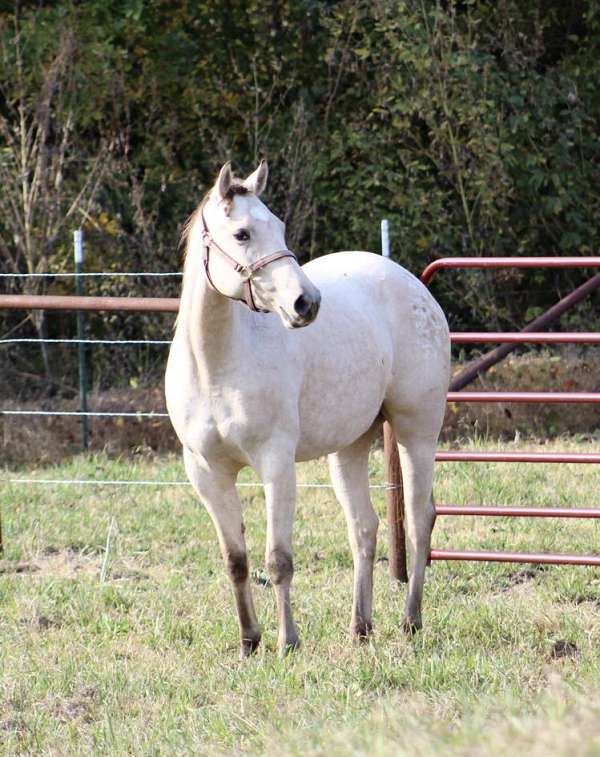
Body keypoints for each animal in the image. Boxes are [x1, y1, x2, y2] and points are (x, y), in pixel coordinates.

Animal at [164, 161, 450, 656]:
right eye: (241, 233)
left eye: (278, 227)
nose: (306, 303)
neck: (215, 364)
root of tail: (414, 286)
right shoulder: (206, 473)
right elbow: (236, 561)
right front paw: (249, 641)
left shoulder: (276, 464)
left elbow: (277, 560)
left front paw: (287, 642)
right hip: (350, 445)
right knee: (364, 528)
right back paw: (360, 627)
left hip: (417, 430)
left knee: (418, 520)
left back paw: (410, 620)